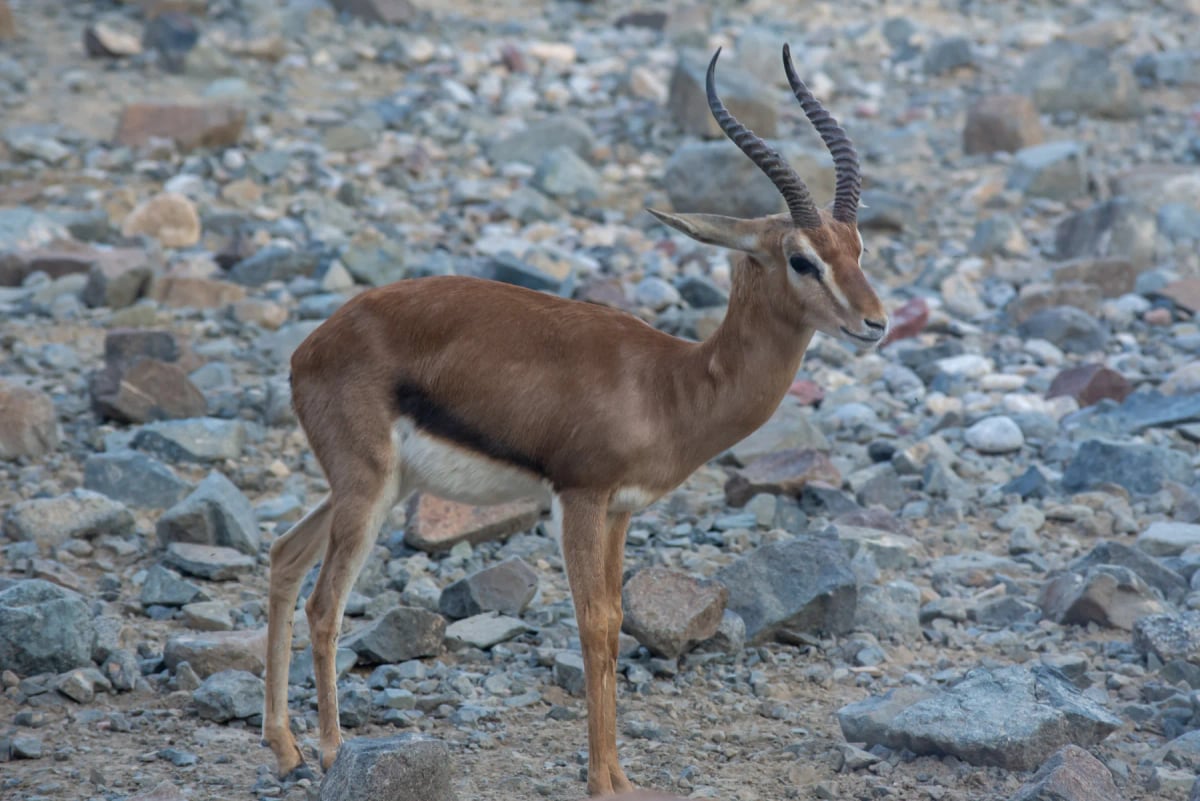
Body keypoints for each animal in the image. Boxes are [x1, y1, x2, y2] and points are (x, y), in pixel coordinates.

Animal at [261, 45, 888, 796]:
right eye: (802, 258)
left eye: (857, 246)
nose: (876, 322)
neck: (671, 384)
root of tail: (309, 348)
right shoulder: (582, 497)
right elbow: (591, 624)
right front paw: (600, 782)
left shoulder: (620, 511)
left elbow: (615, 622)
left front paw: (621, 777)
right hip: (368, 487)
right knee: (325, 601)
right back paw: (330, 751)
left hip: (381, 486)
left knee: (284, 554)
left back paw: (286, 747)